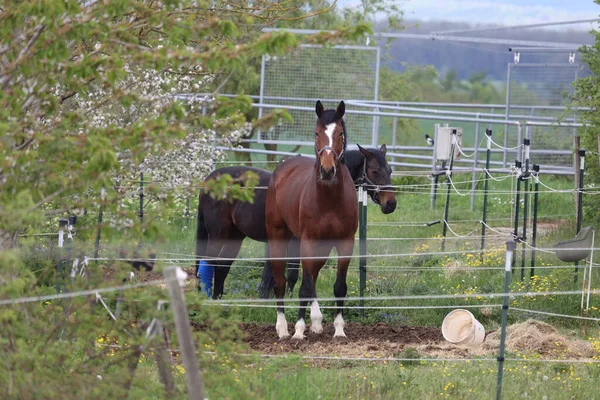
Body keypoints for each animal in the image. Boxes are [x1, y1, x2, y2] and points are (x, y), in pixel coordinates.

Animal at [266, 101, 356, 340]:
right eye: (316, 133)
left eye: (340, 133)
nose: (327, 170)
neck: (329, 200)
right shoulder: (308, 241)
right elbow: (304, 287)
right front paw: (298, 331)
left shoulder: (346, 242)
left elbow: (339, 286)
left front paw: (339, 330)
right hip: (278, 237)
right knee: (282, 282)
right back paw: (282, 329)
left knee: (312, 276)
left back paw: (316, 322)